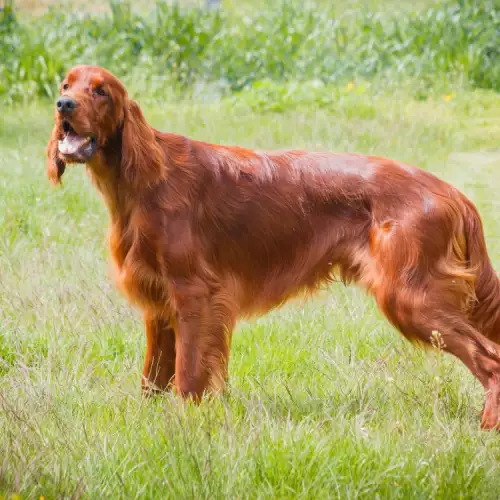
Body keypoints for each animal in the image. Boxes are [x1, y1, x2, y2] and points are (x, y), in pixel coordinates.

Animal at [47, 65, 500, 430]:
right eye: (67, 83)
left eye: (101, 91)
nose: (63, 104)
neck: (143, 179)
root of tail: (452, 193)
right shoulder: (158, 303)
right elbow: (153, 378)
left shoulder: (195, 294)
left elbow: (189, 373)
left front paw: (186, 425)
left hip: (410, 297)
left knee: (490, 358)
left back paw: (487, 428)